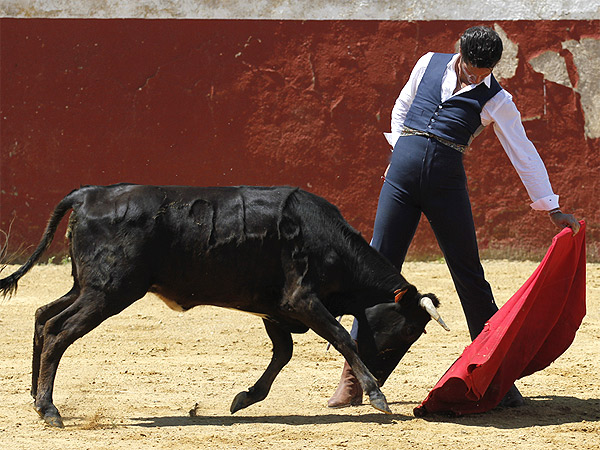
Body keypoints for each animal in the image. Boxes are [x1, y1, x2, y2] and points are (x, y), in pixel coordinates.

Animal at [0, 185, 446, 428]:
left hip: (87, 286)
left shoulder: (275, 310)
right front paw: (377, 395)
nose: (383, 371)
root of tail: (88, 194)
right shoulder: (301, 300)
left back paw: (35, 398)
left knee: (42, 317)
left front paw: (245, 398)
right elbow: (342, 338)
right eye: (411, 329)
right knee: (57, 330)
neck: (326, 238)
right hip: (108, 292)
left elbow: (282, 354)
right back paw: (50, 408)